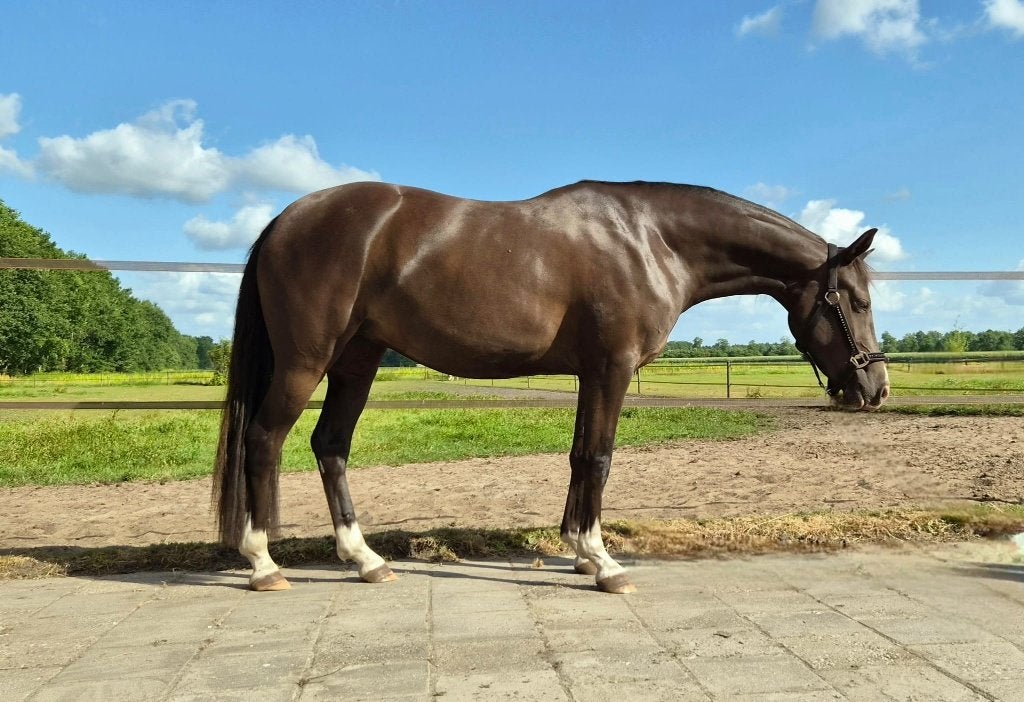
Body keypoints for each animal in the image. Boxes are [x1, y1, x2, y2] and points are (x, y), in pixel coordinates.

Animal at [213, 180, 890, 594]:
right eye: (855, 302)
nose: (876, 387)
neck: (650, 240)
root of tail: (286, 220)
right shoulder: (612, 368)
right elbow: (599, 458)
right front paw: (605, 563)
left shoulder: (591, 373)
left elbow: (578, 457)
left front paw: (581, 552)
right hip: (307, 361)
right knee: (265, 440)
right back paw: (263, 563)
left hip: (358, 360)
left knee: (330, 445)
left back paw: (366, 561)